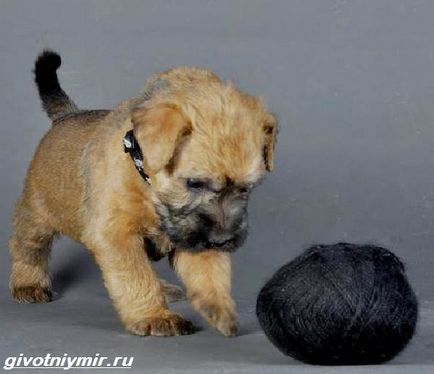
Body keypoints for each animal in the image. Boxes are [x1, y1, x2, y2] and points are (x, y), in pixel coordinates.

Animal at [10, 50, 278, 336]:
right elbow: (136, 275)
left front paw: (218, 306)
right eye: (194, 183)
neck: (147, 184)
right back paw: (29, 284)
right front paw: (154, 315)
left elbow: (209, 271)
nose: (222, 241)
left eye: (246, 188)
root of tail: (67, 115)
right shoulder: (117, 234)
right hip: (36, 215)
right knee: (27, 247)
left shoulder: (193, 238)